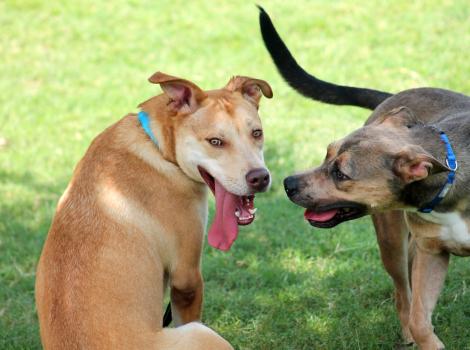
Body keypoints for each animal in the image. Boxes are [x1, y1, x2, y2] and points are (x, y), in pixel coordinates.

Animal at [35, 69, 272, 348]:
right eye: (215, 141)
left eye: (257, 133)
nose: (260, 178)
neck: (158, 146)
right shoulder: (187, 276)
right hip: (202, 333)